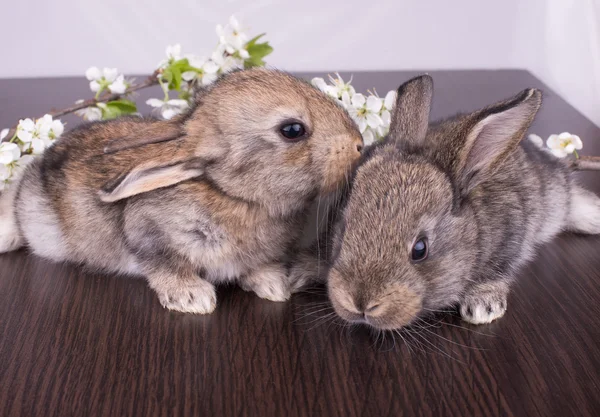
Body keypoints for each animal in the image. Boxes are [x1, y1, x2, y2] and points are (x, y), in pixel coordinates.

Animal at [0, 69, 364, 312]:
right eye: (292, 130)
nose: (359, 144)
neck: (230, 193)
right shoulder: (149, 234)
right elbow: (165, 265)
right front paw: (193, 298)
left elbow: (258, 268)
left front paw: (275, 285)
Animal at [328, 74, 600, 328]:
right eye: (344, 229)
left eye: (420, 249)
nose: (360, 303)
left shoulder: (513, 233)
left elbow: (497, 272)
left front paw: (482, 308)